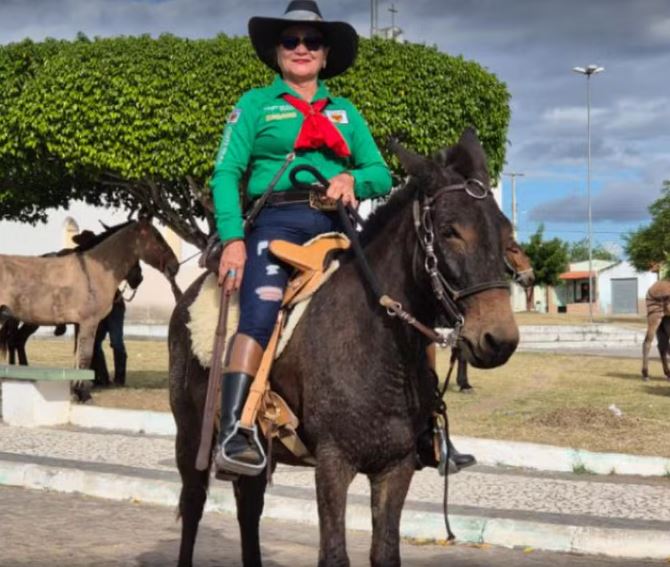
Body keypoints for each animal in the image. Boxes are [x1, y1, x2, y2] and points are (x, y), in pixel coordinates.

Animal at [0, 220, 180, 374]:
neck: (94, 269)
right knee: (15, 340)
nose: (175, 266)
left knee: (16, 340)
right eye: (158, 237)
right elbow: (84, 356)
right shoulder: (87, 322)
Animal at [168, 130, 520, 567]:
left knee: (248, 506)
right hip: (190, 433)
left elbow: (385, 552)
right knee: (194, 502)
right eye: (450, 231)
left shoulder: (396, 466)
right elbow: (334, 554)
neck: (379, 346)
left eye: (506, 233)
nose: (499, 339)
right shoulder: (333, 463)